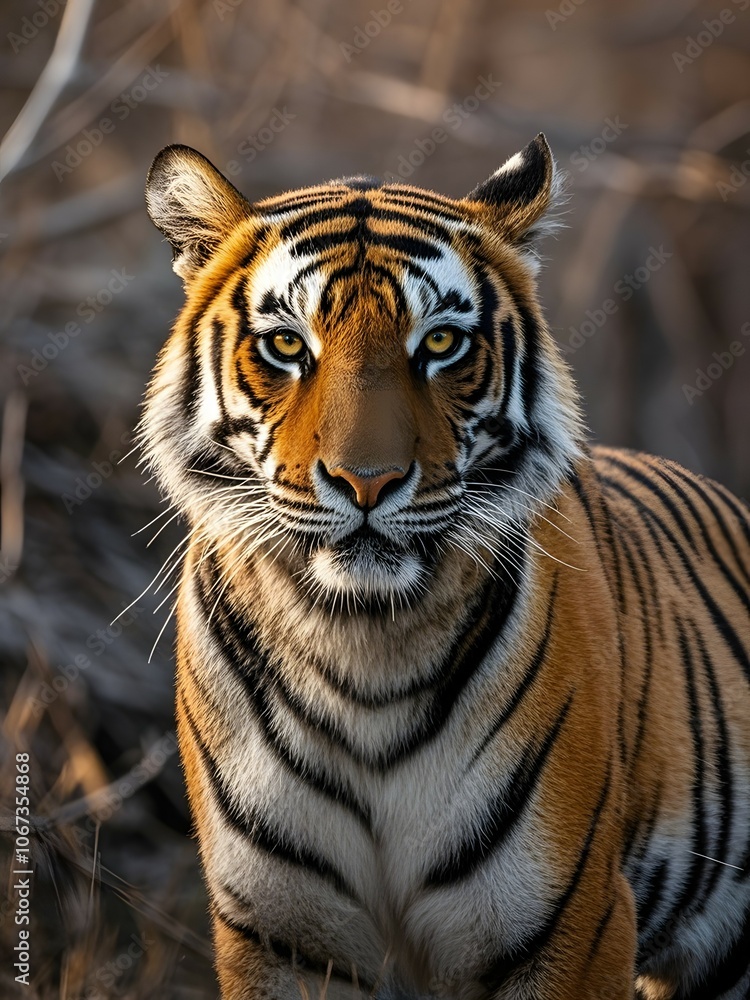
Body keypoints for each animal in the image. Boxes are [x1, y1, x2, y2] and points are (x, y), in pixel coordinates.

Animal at [140, 133, 750, 1000]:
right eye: (288, 344)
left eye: (439, 342)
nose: (367, 481)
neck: (359, 641)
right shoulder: (283, 935)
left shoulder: (570, 922)